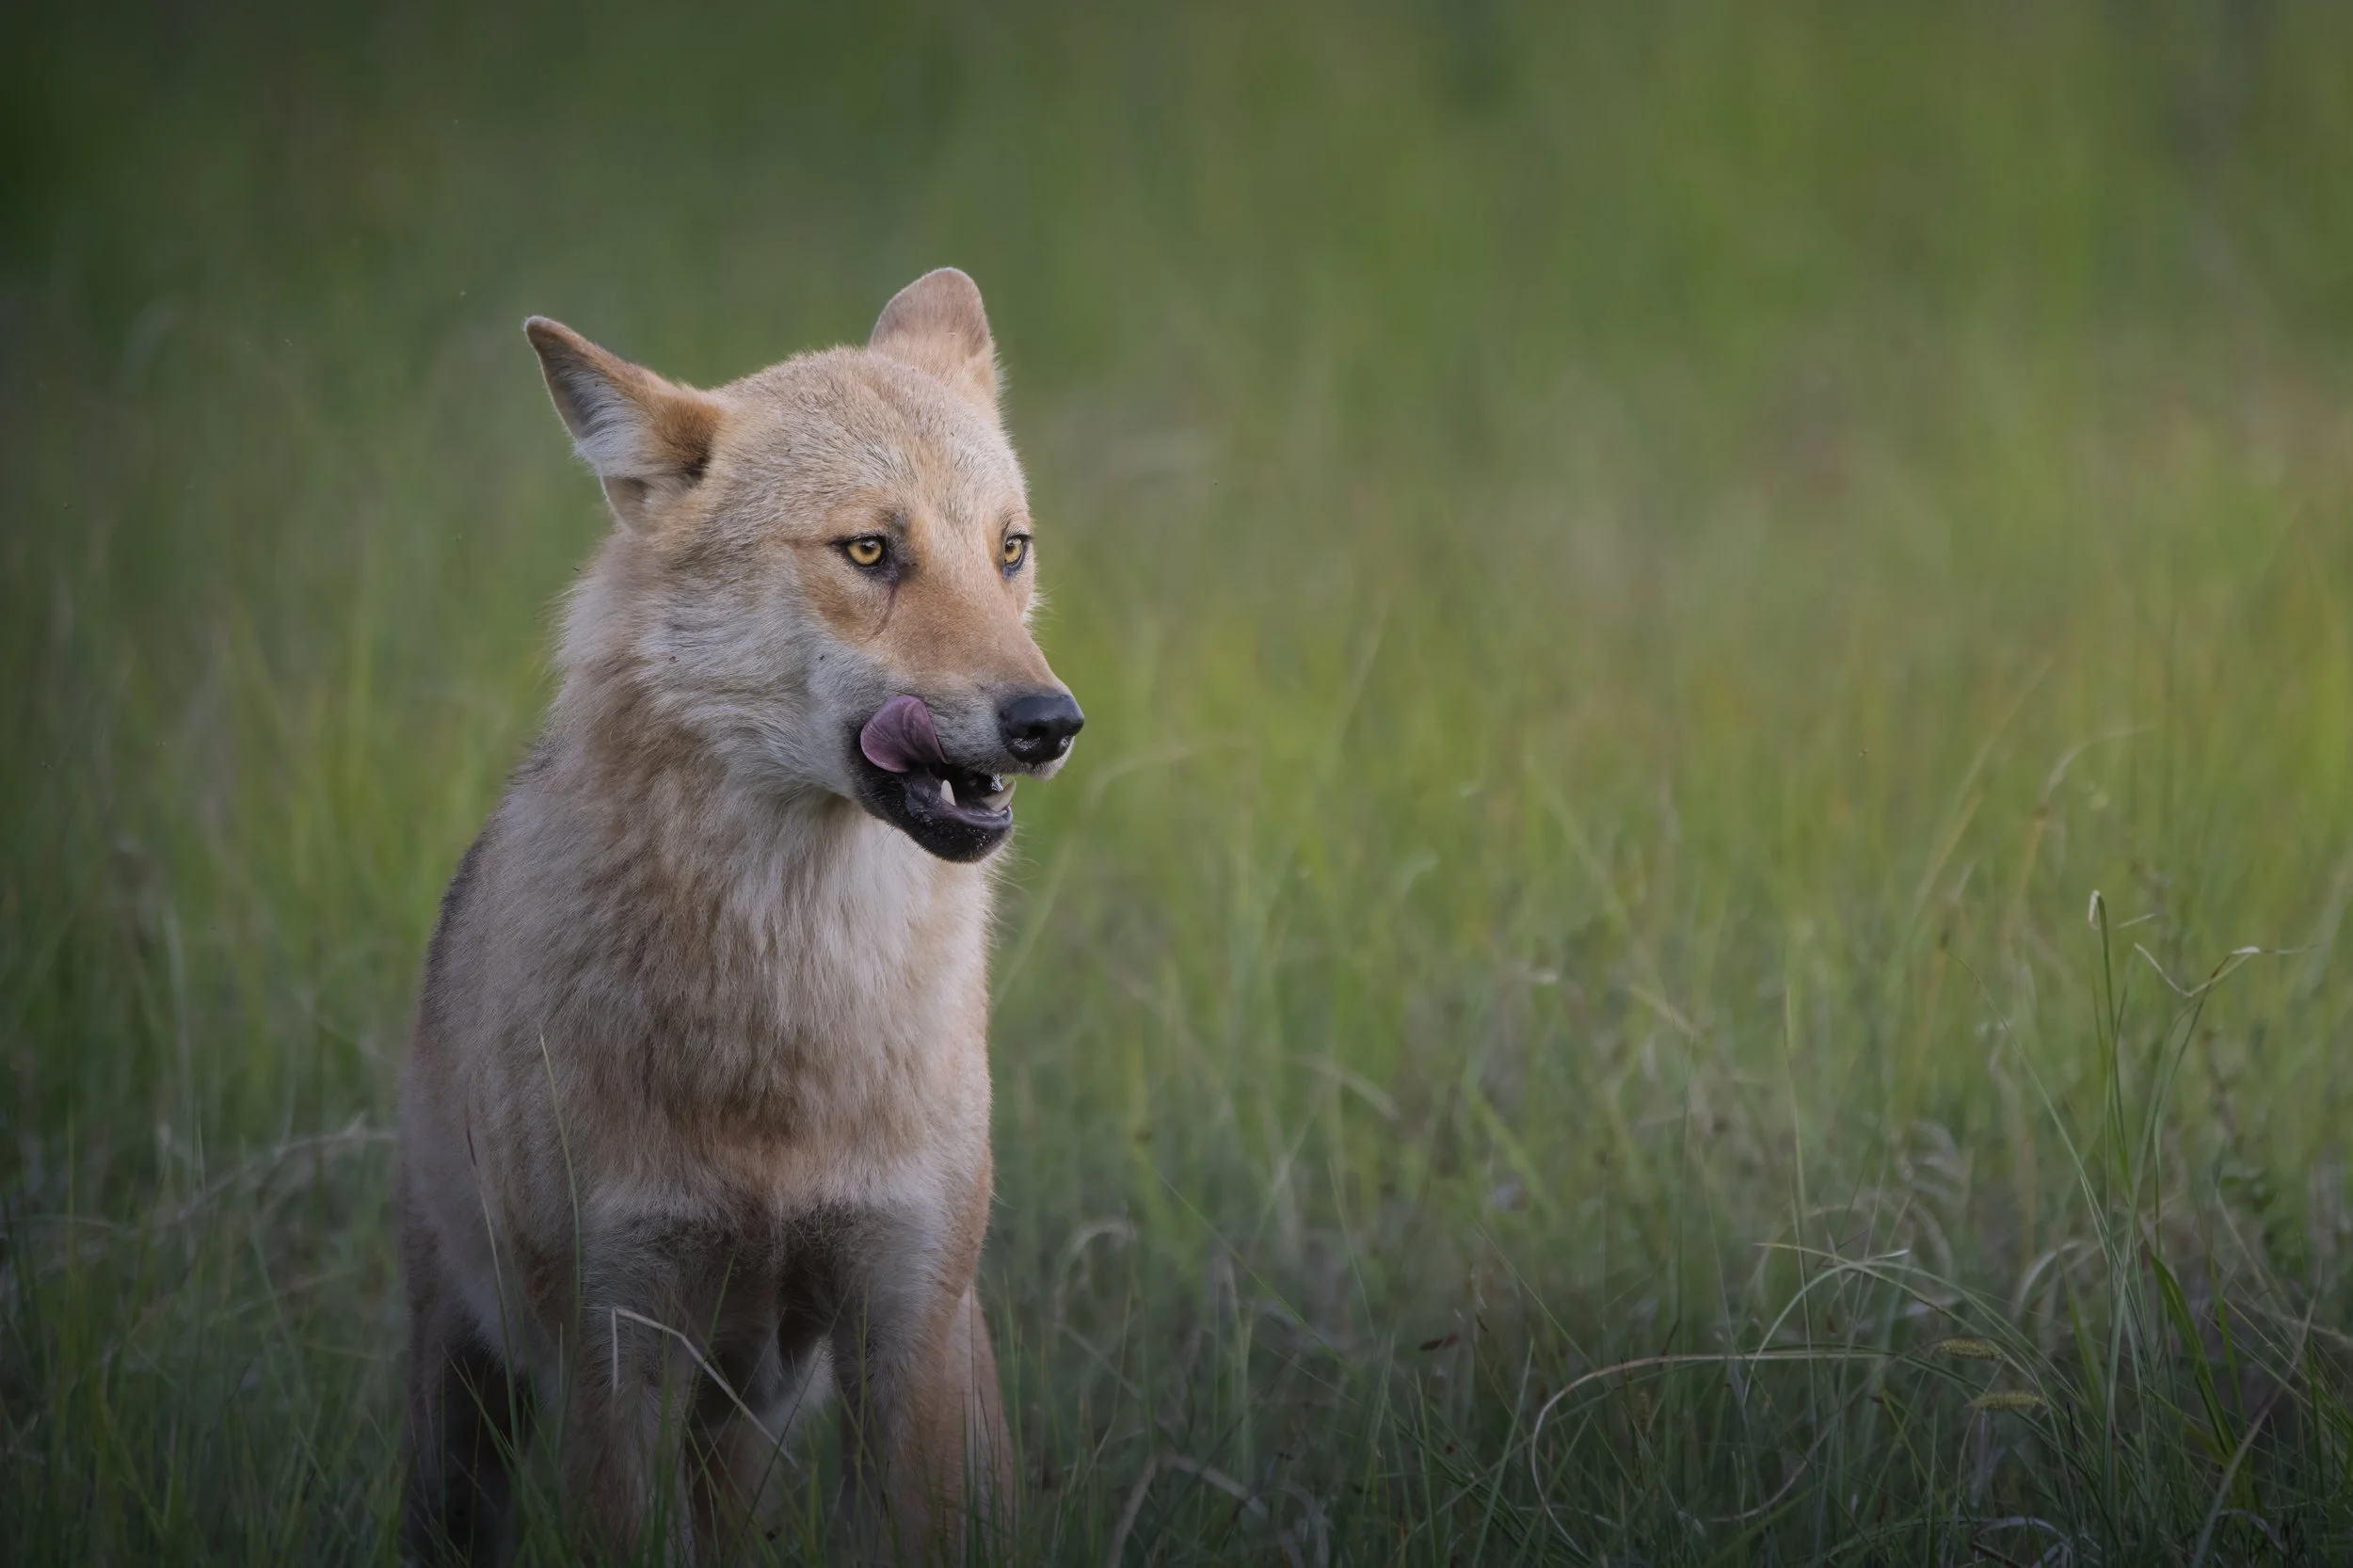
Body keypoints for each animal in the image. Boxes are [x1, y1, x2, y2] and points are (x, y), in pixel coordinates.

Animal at [395, 268, 1081, 1564]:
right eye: (870, 550)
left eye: (1007, 549)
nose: (1049, 721)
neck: (789, 999)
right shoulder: (614, 1365)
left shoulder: (908, 1338)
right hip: (473, 1404)